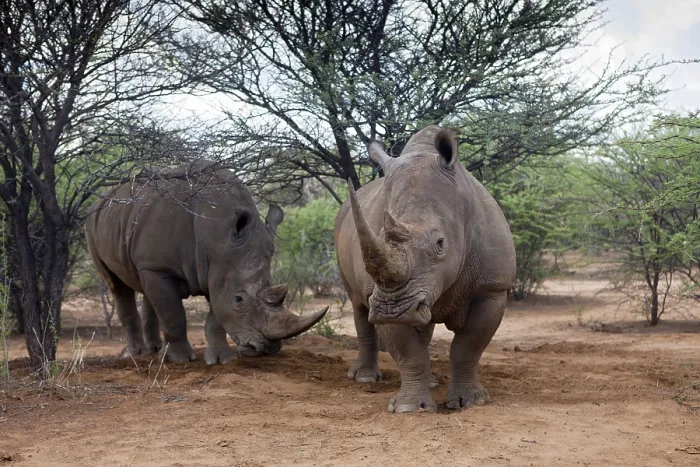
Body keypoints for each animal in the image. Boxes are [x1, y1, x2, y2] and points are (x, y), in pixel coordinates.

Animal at [86, 161, 328, 363]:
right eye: (239, 299)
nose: (267, 349)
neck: (215, 237)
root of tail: (102, 198)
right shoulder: (168, 266)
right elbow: (173, 315)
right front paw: (181, 360)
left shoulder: (220, 267)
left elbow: (216, 315)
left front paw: (222, 360)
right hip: (94, 223)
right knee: (117, 285)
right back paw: (137, 355)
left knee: (146, 288)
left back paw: (156, 351)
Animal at [334, 126, 516, 412]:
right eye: (380, 235)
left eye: (440, 243)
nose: (394, 309)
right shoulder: (383, 293)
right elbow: (409, 351)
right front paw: (410, 408)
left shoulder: (492, 287)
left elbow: (468, 346)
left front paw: (471, 401)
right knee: (358, 304)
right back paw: (365, 378)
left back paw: (430, 381)